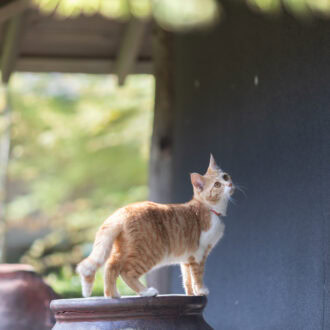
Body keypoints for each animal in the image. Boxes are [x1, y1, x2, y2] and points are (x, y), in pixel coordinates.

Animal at [76, 156, 235, 298]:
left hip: (124, 249)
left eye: (226, 177)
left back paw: (112, 295)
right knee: (125, 272)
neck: (211, 209)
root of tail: (122, 211)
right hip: (149, 253)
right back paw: (145, 292)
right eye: (217, 185)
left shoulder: (187, 258)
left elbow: (187, 278)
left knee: (110, 266)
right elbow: (198, 275)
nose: (229, 185)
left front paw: (191, 294)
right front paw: (201, 291)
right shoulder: (199, 254)